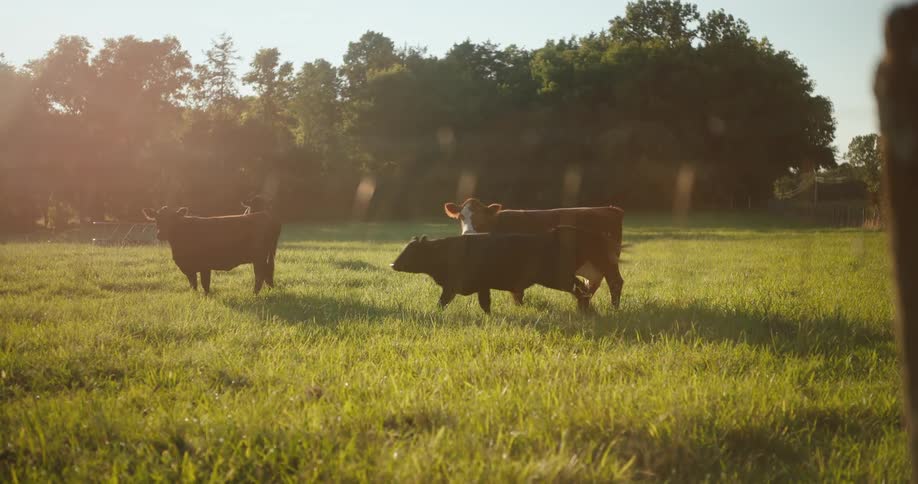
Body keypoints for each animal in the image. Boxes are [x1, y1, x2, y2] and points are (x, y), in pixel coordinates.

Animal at [142, 206, 281, 294]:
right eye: (157, 219)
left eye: (172, 219)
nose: (160, 234)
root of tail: (266, 214)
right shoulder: (189, 268)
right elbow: (193, 284)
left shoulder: (204, 265)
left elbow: (205, 284)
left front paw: (206, 297)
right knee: (268, 272)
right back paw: (270, 290)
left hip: (259, 258)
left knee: (260, 275)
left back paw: (254, 294)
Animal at [390, 226, 620, 314]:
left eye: (411, 251)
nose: (393, 264)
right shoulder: (478, 286)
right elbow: (483, 304)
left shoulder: (456, 285)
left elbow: (445, 301)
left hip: (558, 278)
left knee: (581, 287)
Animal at [443, 198, 624, 308]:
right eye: (461, 217)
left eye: (481, 217)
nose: (468, 234)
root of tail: (611, 209)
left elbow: (517, 289)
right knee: (593, 284)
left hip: (606, 260)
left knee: (615, 282)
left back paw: (612, 309)